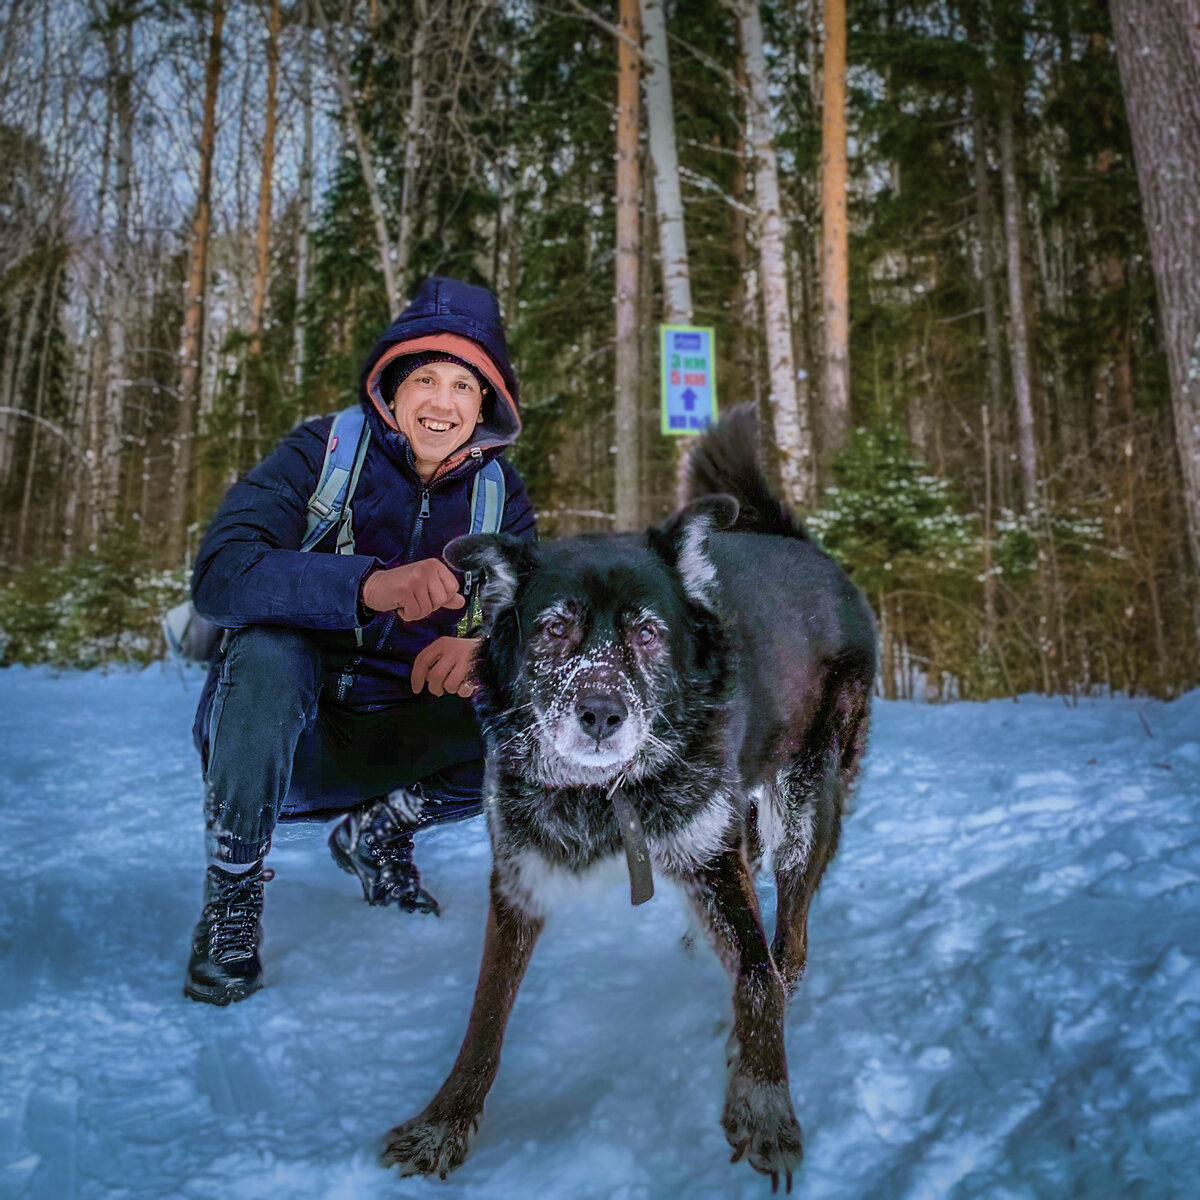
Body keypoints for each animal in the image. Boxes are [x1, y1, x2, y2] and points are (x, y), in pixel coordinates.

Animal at [381, 410, 873, 1190]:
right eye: (555, 627)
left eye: (646, 632)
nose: (602, 712)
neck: (606, 795)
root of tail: (804, 547)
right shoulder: (520, 879)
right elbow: (485, 1017)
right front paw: (443, 1125)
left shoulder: (709, 856)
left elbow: (759, 979)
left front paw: (764, 1105)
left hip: (803, 804)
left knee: (789, 943)